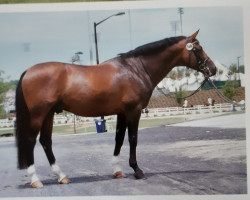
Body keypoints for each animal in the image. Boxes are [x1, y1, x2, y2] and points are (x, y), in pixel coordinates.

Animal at [14, 29, 216, 188]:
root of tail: (28, 71)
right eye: (198, 48)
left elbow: (118, 139)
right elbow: (133, 139)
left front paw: (118, 170)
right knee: (31, 141)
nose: (213, 69)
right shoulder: (134, 111)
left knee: (46, 142)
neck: (136, 69)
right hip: (38, 115)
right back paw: (35, 180)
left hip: (49, 114)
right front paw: (137, 170)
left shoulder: (121, 113)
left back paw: (62, 176)